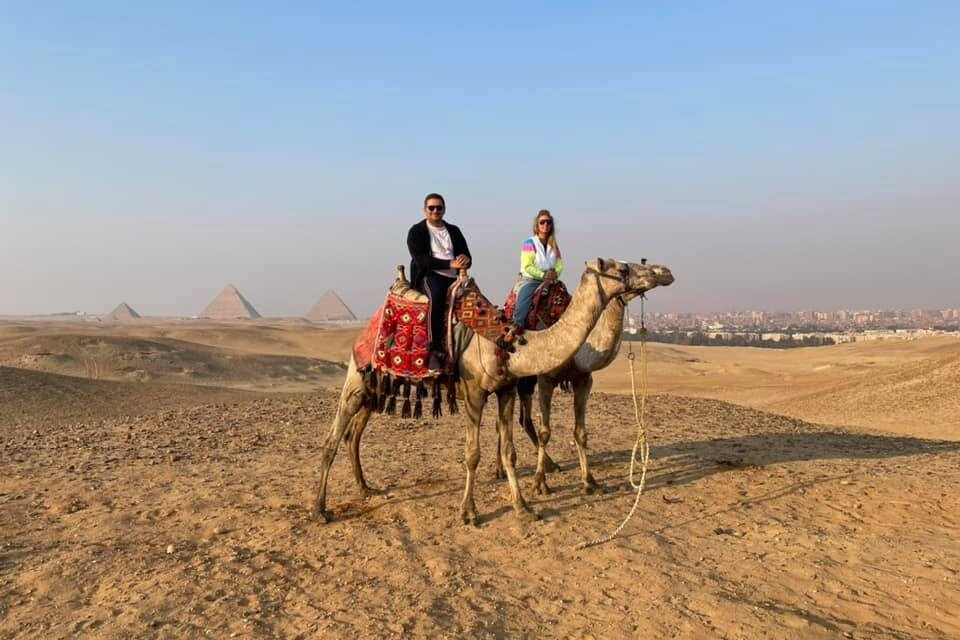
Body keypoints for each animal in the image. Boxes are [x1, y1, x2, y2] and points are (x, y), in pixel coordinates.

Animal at [311, 258, 674, 526]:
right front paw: (469, 511)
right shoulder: (476, 392)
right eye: (622, 268)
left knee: (353, 435)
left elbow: (511, 450)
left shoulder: (508, 389)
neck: (508, 343)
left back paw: (365, 487)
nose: (664, 271)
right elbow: (473, 454)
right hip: (356, 377)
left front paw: (524, 506)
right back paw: (320, 509)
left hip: (375, 386)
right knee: (332, 439)